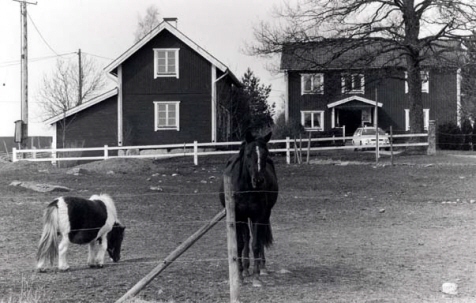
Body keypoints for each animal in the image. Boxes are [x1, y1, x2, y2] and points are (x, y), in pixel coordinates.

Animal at [219, 131, 278, 288]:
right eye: (248, 154)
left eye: (266, 153)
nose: (258, 180)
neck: (246, 189)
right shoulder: (238, 216)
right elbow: (239, 244)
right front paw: (239, 275)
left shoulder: (260, 215)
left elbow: (256, 244)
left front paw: (256, 277)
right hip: (244, 218)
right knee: (246, 239)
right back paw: (245, 270)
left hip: (263, 215)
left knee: (257, 239)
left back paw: (261, 267)